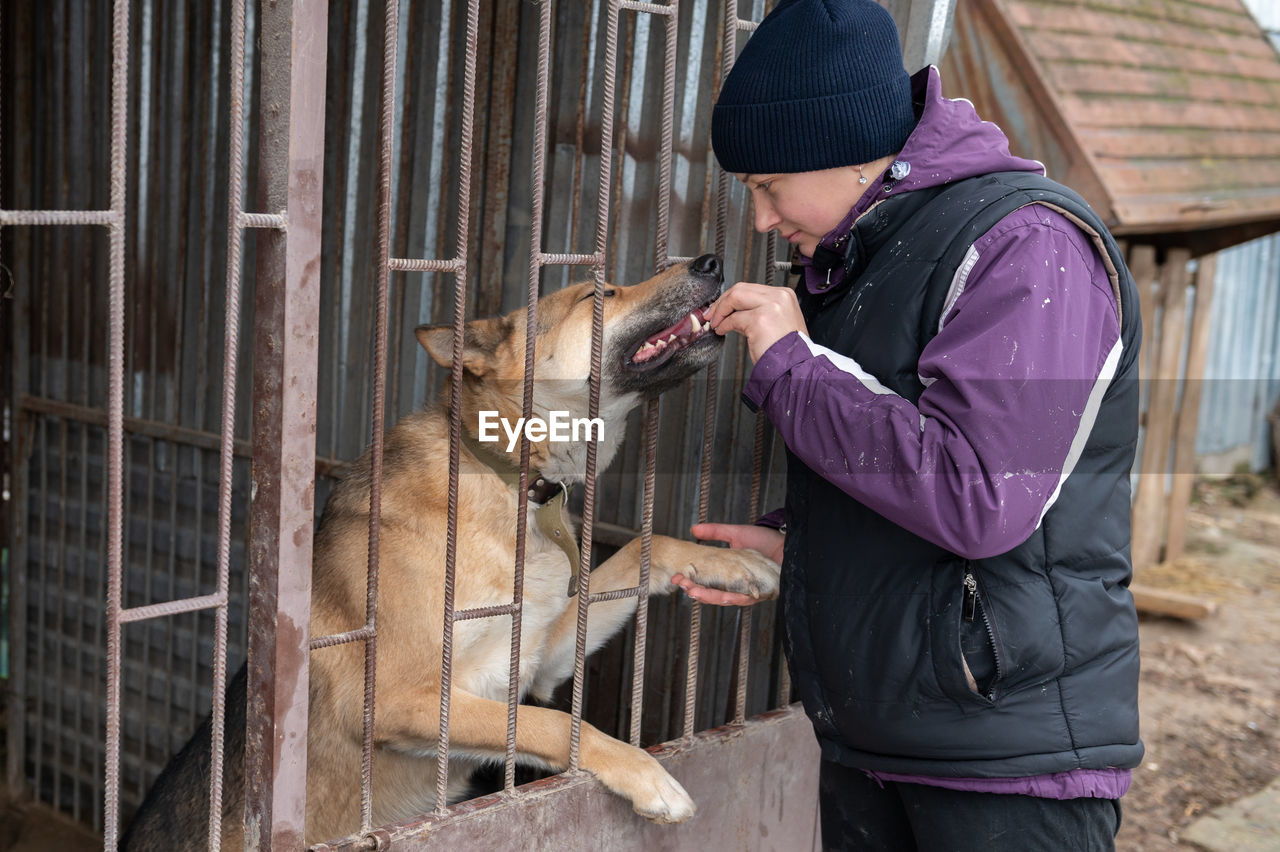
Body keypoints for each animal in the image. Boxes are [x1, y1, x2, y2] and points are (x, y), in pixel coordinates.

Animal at [122, 255, 778, 844]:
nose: (712, 261)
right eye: (600, 294)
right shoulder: (401, 700)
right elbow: (553, 721)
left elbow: (646, 545)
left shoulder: (538, 659)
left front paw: (734, 563)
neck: (509, 480)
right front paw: (646, 774)